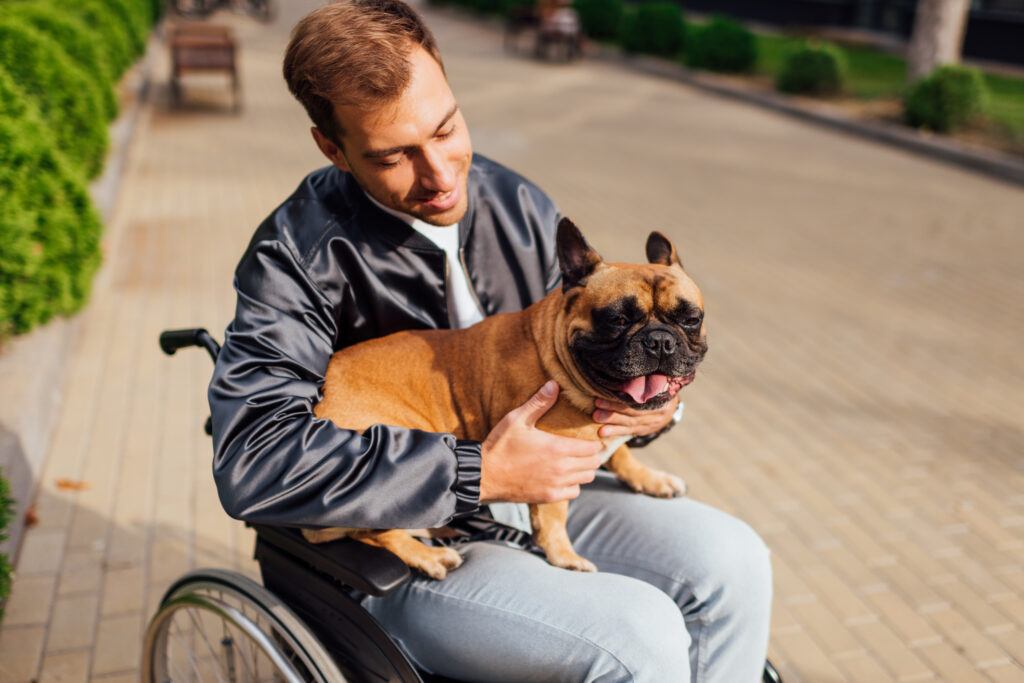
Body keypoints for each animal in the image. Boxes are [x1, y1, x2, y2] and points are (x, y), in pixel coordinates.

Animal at [303, 218, 704, 577]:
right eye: (617, 319)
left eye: (691, 319)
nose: (660, 340)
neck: (554, 354)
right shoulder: (552, 461)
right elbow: (554, 513)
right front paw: (564, 556)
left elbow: (620, 452)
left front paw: (649, 478)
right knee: (374, 529)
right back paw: (428, 555)